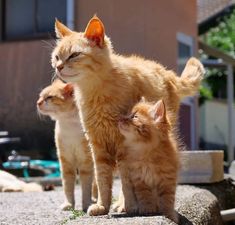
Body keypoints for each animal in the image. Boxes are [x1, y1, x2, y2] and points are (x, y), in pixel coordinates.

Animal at [36, 80, 93, 212]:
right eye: (40, 96)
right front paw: (68, 204)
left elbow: (86, 186)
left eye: (49, 97)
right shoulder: (65, 161)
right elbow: (67, 185)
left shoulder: (86, 161)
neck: (69, 125)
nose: (37, 103)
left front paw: (87, 204)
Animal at [51, 16, 204, 216]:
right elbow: (102, 180)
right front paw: (102, 205)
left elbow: (126, 183)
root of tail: (168, 73)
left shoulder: (123, 146)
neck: (95, 93)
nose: (58, 67)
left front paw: (130, 206)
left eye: (74, 55)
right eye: (57, 57)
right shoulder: (98, 146)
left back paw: (124, 205)